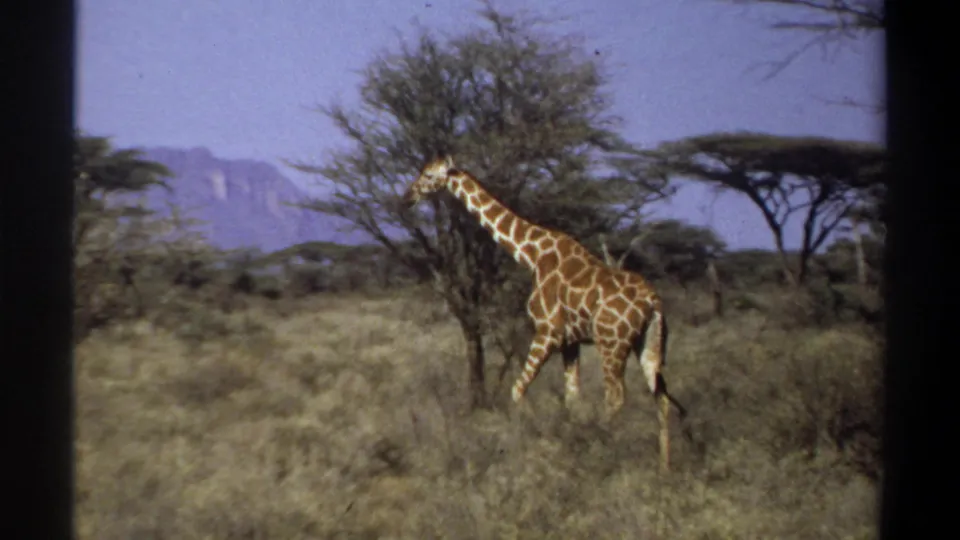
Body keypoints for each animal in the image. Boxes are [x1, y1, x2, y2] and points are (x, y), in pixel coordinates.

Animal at [402, 155, 687, 472]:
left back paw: (607, 455)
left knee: (615, 398)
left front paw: (537, 444)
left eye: (428, 175)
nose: (408, 197)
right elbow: (572, 398)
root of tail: (653, 302)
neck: (532, 254)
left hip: (611, 344)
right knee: (661, 398)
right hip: (648, 344)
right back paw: (664, 467)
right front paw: (570, 446)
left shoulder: (547, 331)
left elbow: (517, 389)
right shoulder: (570, 342)